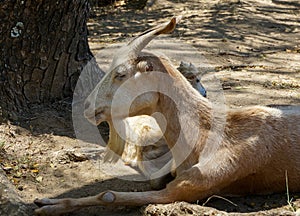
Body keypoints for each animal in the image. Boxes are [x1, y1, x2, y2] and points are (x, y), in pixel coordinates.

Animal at [34, 16, 298, 214]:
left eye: (121, 73)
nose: (88, 107)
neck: (207, 133)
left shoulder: (189, 187)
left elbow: (108, 194)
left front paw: (49, 205)